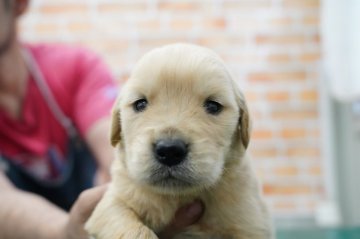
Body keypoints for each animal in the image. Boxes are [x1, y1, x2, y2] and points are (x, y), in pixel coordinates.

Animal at [85, 43, 272, 239]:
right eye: (140, 104)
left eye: (213, 106)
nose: (169, 151)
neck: (178, 197)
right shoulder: (112, 201)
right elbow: (126, 223)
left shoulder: (251, 223)